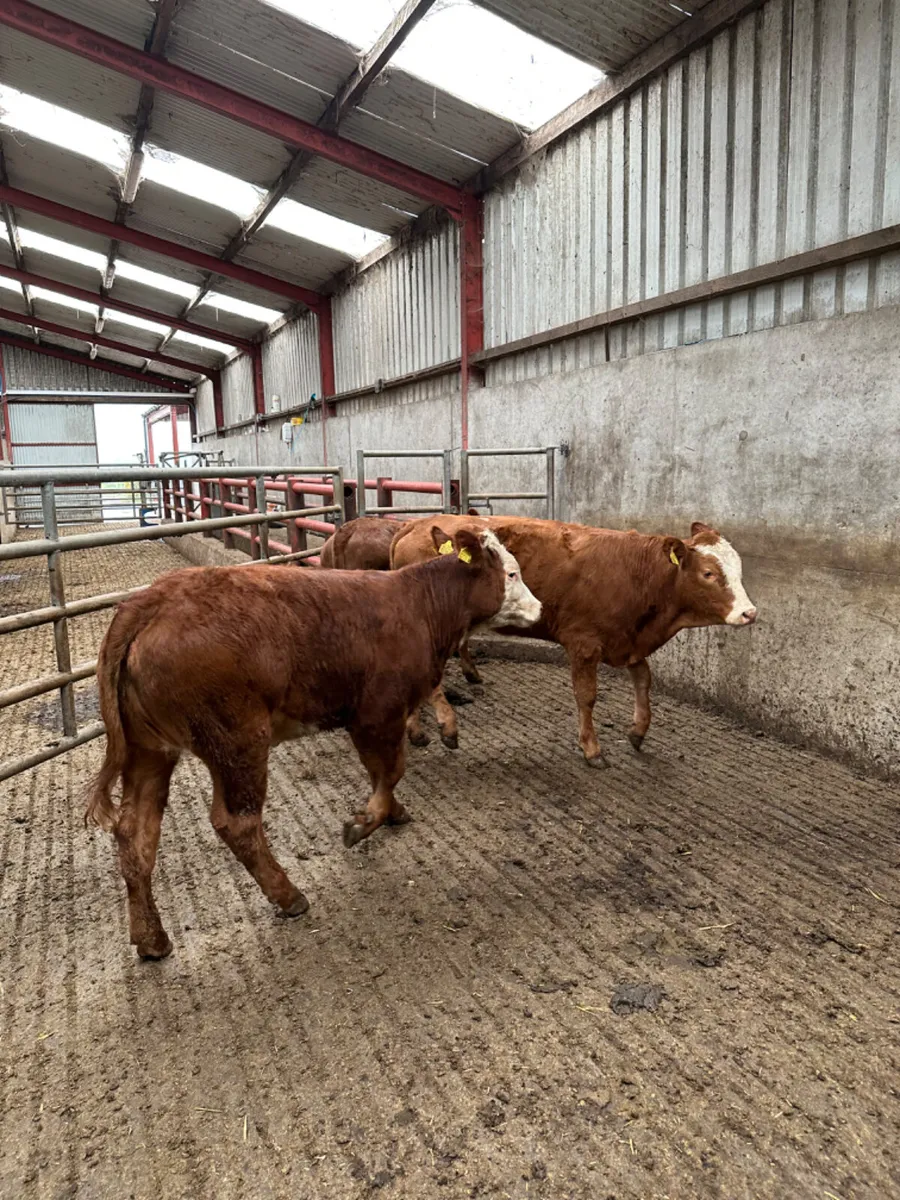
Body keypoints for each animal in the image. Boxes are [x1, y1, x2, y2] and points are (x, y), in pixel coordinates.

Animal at [85, 527, 540, 960]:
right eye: (512, 573)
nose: (538, 609)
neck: (416, 605)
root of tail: (152, 599)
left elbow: (382, 773)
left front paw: (392, 811)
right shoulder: (376, 714)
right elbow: (391, 770)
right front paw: (365, 822)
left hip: (150, 750)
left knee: (136, 833)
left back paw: (152, 938)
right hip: (238, 742)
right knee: (237, 823)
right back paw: (288, 896)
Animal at [391, 516, 757, 766]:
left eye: (738, 570)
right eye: (708, 573)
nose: (749, 612)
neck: (638, 574)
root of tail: (416, 523)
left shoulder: (628, 641)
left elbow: (643, 680)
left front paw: (638, 731)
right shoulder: (584, 644)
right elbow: (587, 696)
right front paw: (591, 748)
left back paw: (415, 730)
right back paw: (442, 728)